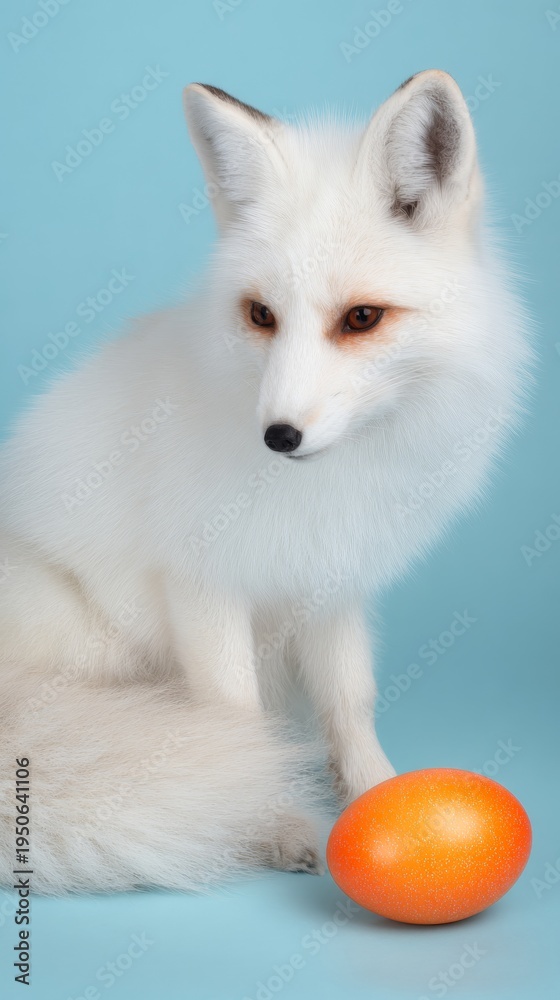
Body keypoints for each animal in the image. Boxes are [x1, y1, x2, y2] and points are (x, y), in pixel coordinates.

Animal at [0, 70, 530, 894]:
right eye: (260, 315)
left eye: (362, 318)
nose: (279, 436)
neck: (324, 490)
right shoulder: (203, 582)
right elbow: (239, 725)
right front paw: (272, 819)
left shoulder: (329, 579)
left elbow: (350, 704)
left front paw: (377, 796)